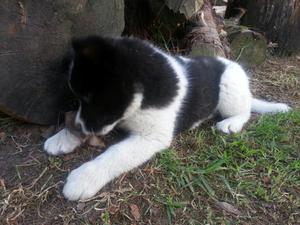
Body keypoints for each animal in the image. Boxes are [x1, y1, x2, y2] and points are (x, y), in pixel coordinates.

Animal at [44, 35, 290, 200]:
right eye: (79, 98)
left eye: (91, 99)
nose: (79, 128)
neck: (143, 95)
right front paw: (62, 137)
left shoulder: (151, 137)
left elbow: (115, 154)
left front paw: (84, 177)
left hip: (230, 87)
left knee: (244, 111)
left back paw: (231, 123)